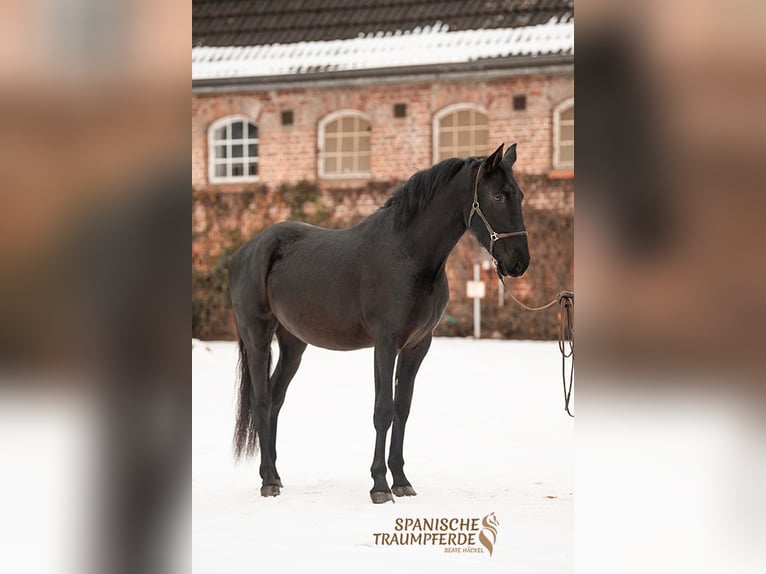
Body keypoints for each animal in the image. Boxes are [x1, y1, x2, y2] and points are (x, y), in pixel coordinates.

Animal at [228, 143, 530, 503]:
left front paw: (401, 480)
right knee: (261, 401)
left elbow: (402, 408)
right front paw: (380, 486)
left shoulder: (417, 346)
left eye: (520, 195)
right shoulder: (385, 344)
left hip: (293, 345)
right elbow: (383, 410)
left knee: (275, 398)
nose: (519, 262)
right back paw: (268, 480)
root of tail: (246, 251)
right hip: (258, 338)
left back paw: (274, 473)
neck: (408, 255)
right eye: (497, 196)